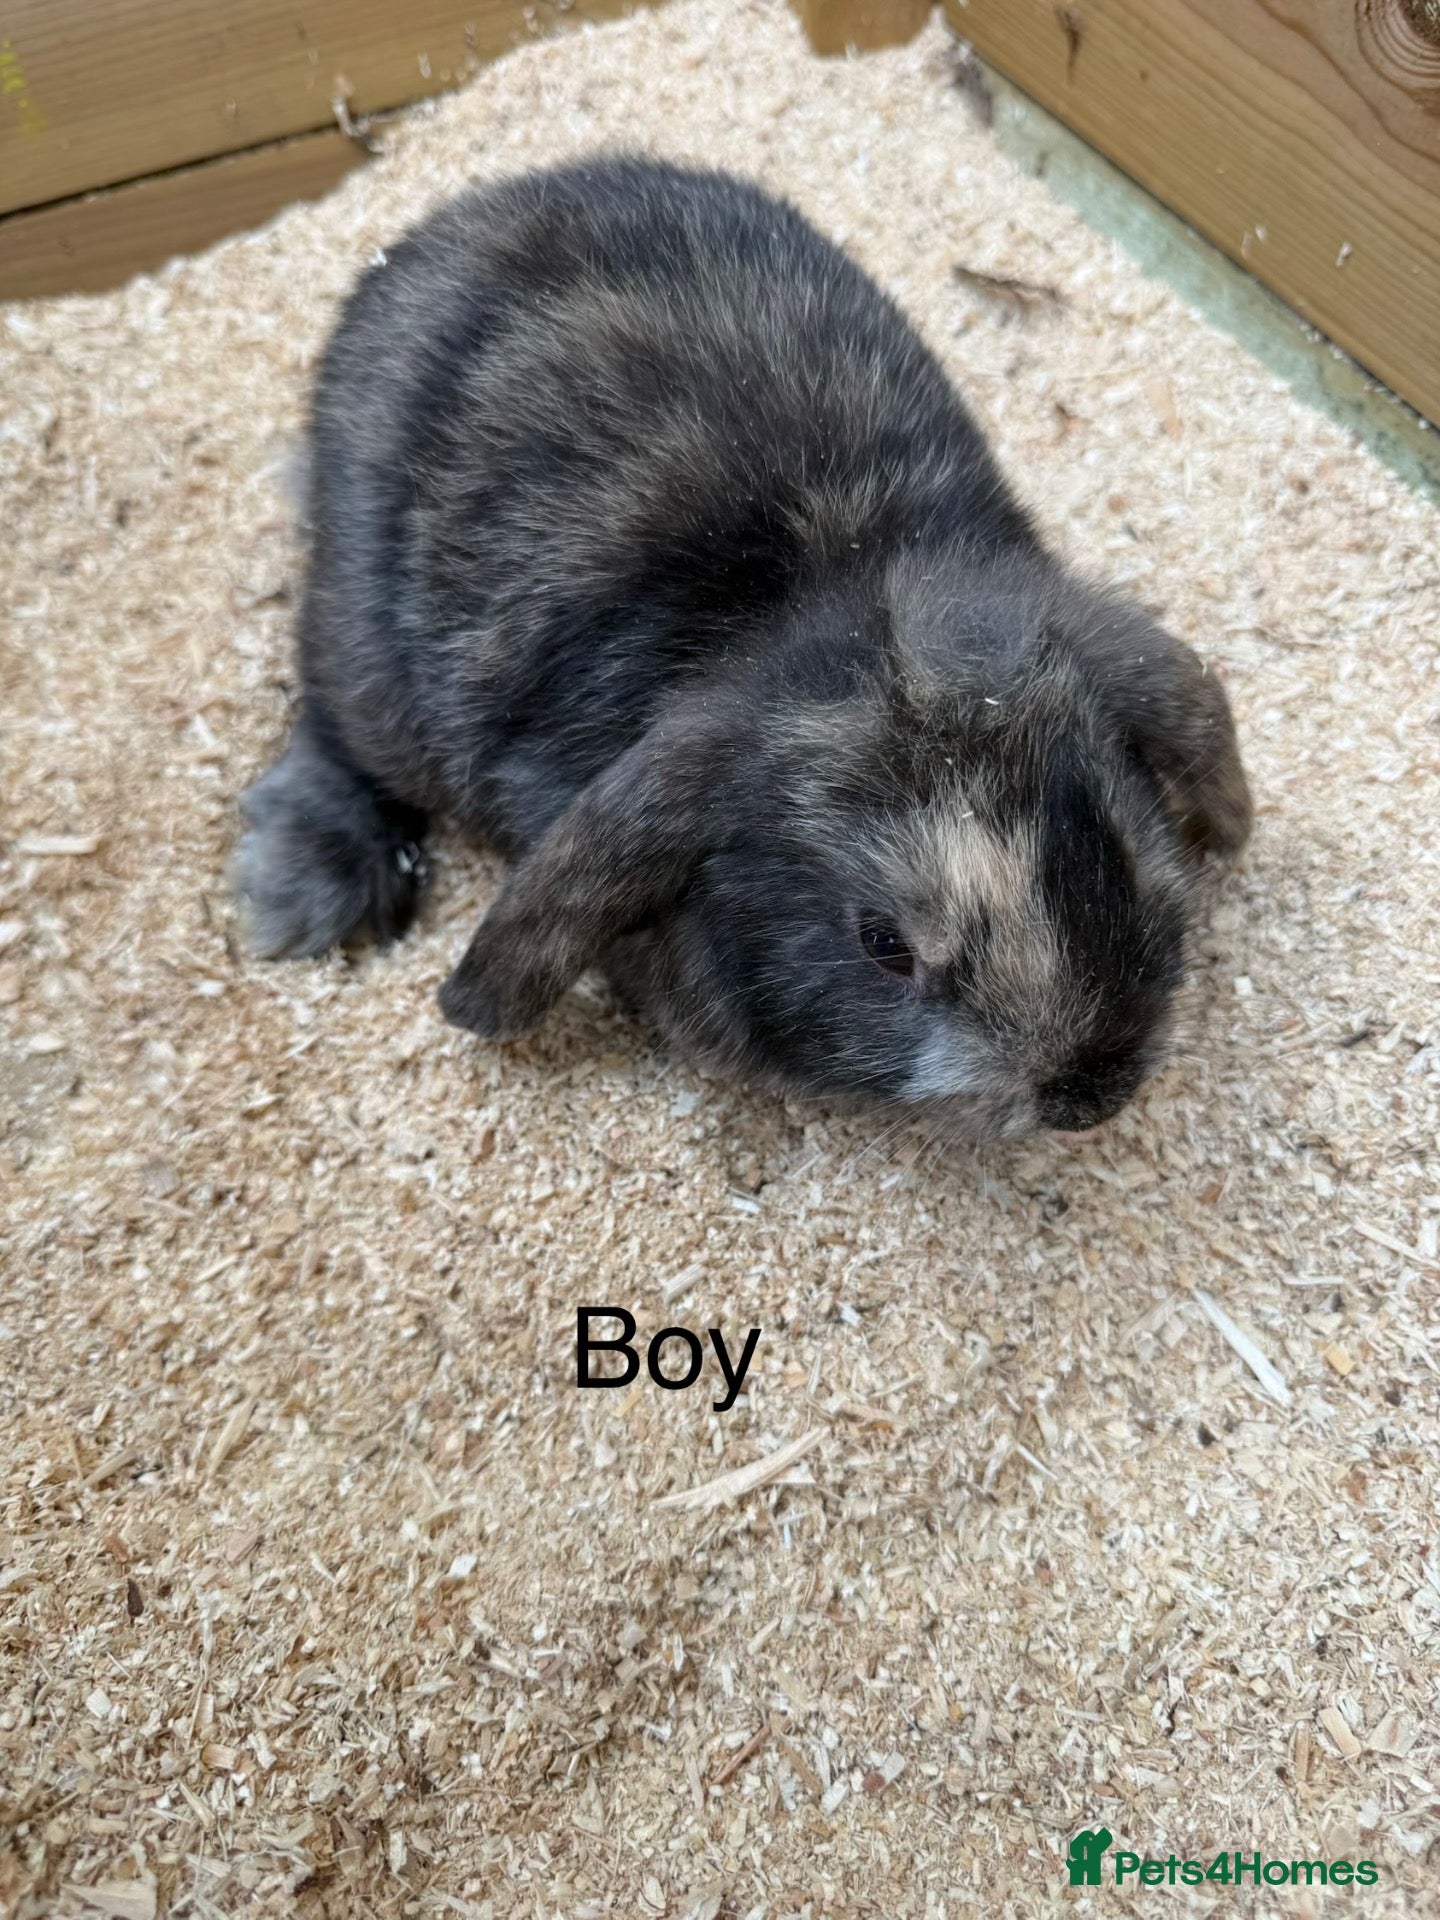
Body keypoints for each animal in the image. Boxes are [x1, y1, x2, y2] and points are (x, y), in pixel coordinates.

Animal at [234, 155, 1251, 1140]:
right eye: (882, 945)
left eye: (1117, 847)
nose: (1090, 1095)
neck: (823, 590)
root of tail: (471, 210)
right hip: (365, 656)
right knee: (333, 723)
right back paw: (303, 888)